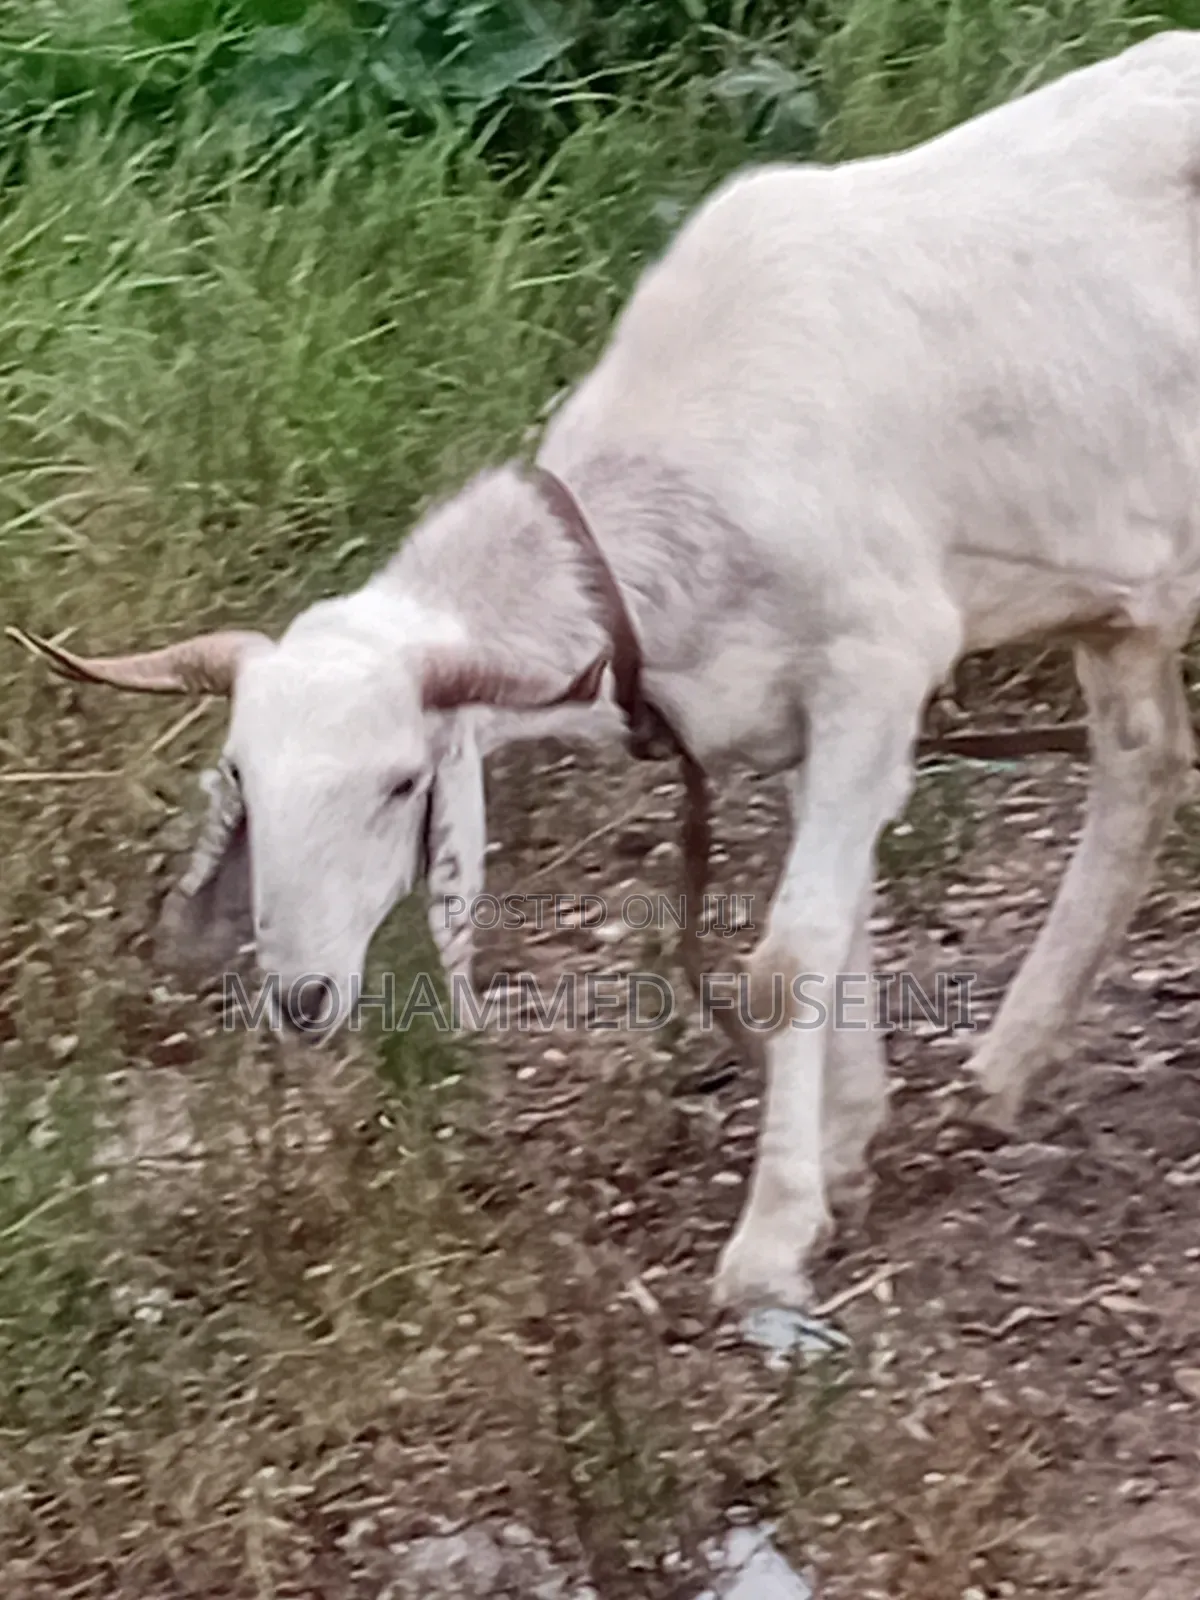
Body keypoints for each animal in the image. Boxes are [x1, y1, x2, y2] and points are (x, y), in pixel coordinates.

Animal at [13, 31, 1200, 1318]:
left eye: (399, 785)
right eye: (240, 776)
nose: (301, 999)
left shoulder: (879, 659)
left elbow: (787, 957)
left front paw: (772, 1237)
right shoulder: (808, 717)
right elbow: (846, 927)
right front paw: (844, 1147)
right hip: (1125, 594)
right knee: (1144, 771)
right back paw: (1009, 1062)